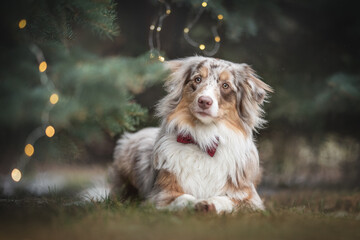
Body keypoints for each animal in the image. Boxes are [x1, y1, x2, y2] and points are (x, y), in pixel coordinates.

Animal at [111, 56, 272, 214]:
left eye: (225, 85)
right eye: (198, 79)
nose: (204, 101)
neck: (204, 140)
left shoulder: (251, 199)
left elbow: (226, 199)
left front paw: (210, 203)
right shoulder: (160, 195)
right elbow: (184, 197)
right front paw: (196, 203)